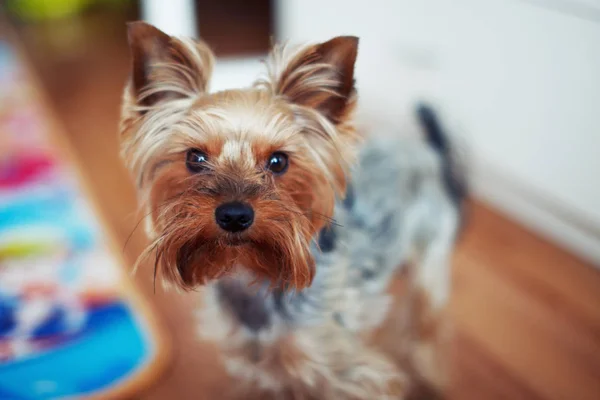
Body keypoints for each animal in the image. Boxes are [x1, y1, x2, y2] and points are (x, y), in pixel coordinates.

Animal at [119, 22, 466, 400]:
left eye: (278, 161)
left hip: (431, 258)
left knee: (428, 325)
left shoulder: (349, 375)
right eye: (194, 158)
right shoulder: (260, 367)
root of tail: (425, 152)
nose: (235, 215)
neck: (251, 275)